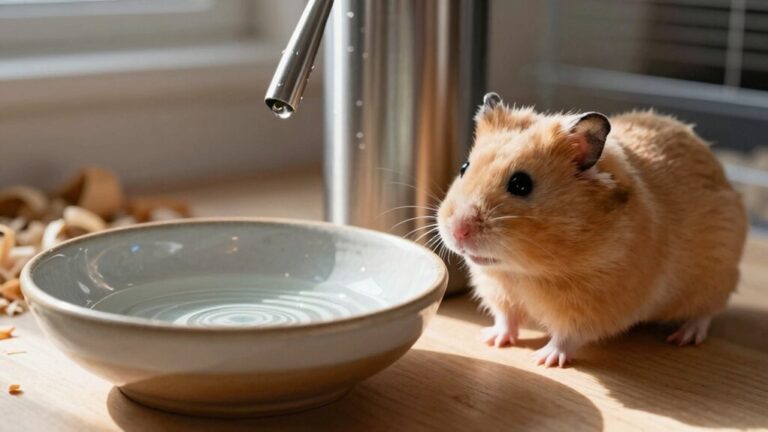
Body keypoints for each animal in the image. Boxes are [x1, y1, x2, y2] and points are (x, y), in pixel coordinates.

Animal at [437, 92, 747, 367]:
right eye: (464, 167)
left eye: (521, 184)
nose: (457, 231)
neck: (524, 272)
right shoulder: (500, 291)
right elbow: (506, 317)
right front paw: (491, 339)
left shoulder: (593, 305)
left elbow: (567, 336)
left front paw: (544, 359)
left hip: (715, 275)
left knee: (706, 312)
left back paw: (684, 337)